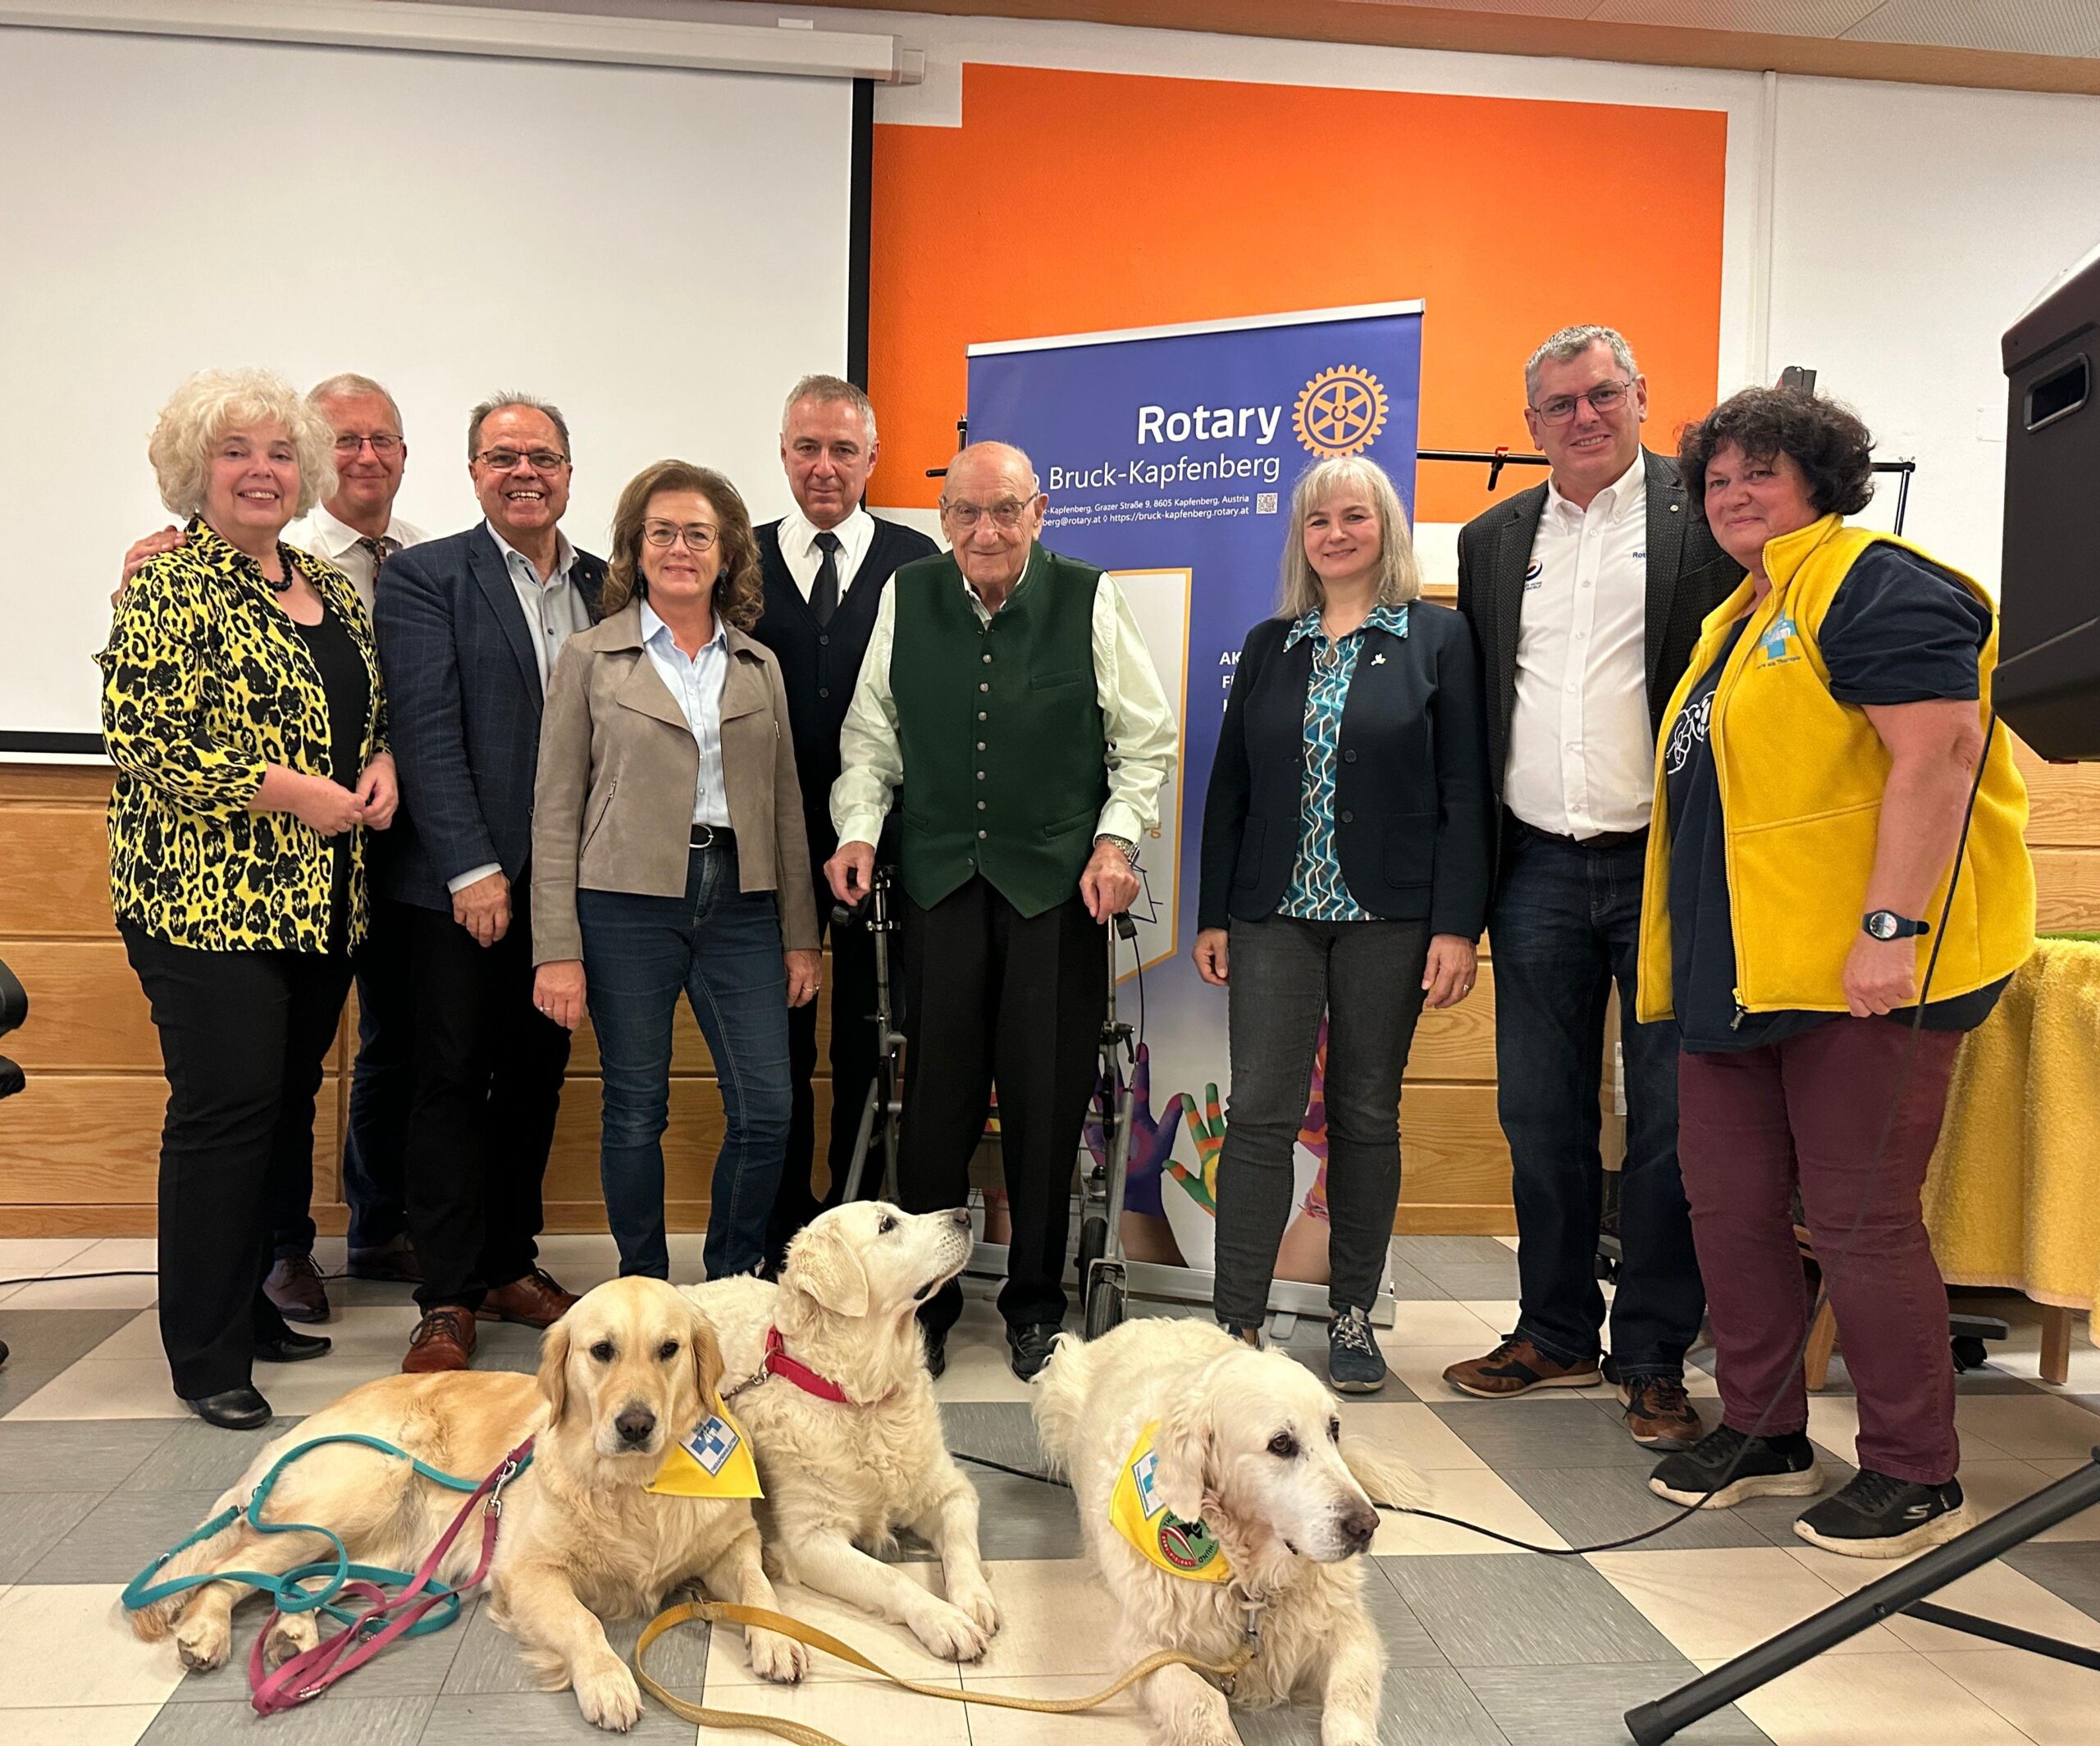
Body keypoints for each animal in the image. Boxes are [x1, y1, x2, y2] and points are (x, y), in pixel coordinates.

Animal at [128, 1277, 806, 1731]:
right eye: (601, 1350)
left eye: (669, 1349)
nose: (636, 1424)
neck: (639, 1485)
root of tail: (310, 1421)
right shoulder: (526, 1571)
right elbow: (583, 1623)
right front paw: (607, 1679)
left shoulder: (733, 1542)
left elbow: (758, 1587)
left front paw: (777, 1640)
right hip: (356, 1492)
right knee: (227, 1568)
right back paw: (206, 1630)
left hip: (391, 1543)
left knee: (309, 1579)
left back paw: (295, 1634)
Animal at [680, 1202, 1001, 1660]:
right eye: (887, 1224)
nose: (964, 1215)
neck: (858, 1397)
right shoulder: (812, 1539)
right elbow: (891, 1578)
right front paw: (945, 1621)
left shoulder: (952, 1491)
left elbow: (961, 1547)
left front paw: (974, 1599)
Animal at [1034, 1317, 1418, 1746]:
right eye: (1281, 1443)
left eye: (1333, 1429)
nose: (1367, 1525)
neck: (1247, 1578)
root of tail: (1143, 1320)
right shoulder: (1143, 1643)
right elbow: (1200, 1697)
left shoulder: (1347, 1628)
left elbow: (1350, 1693)